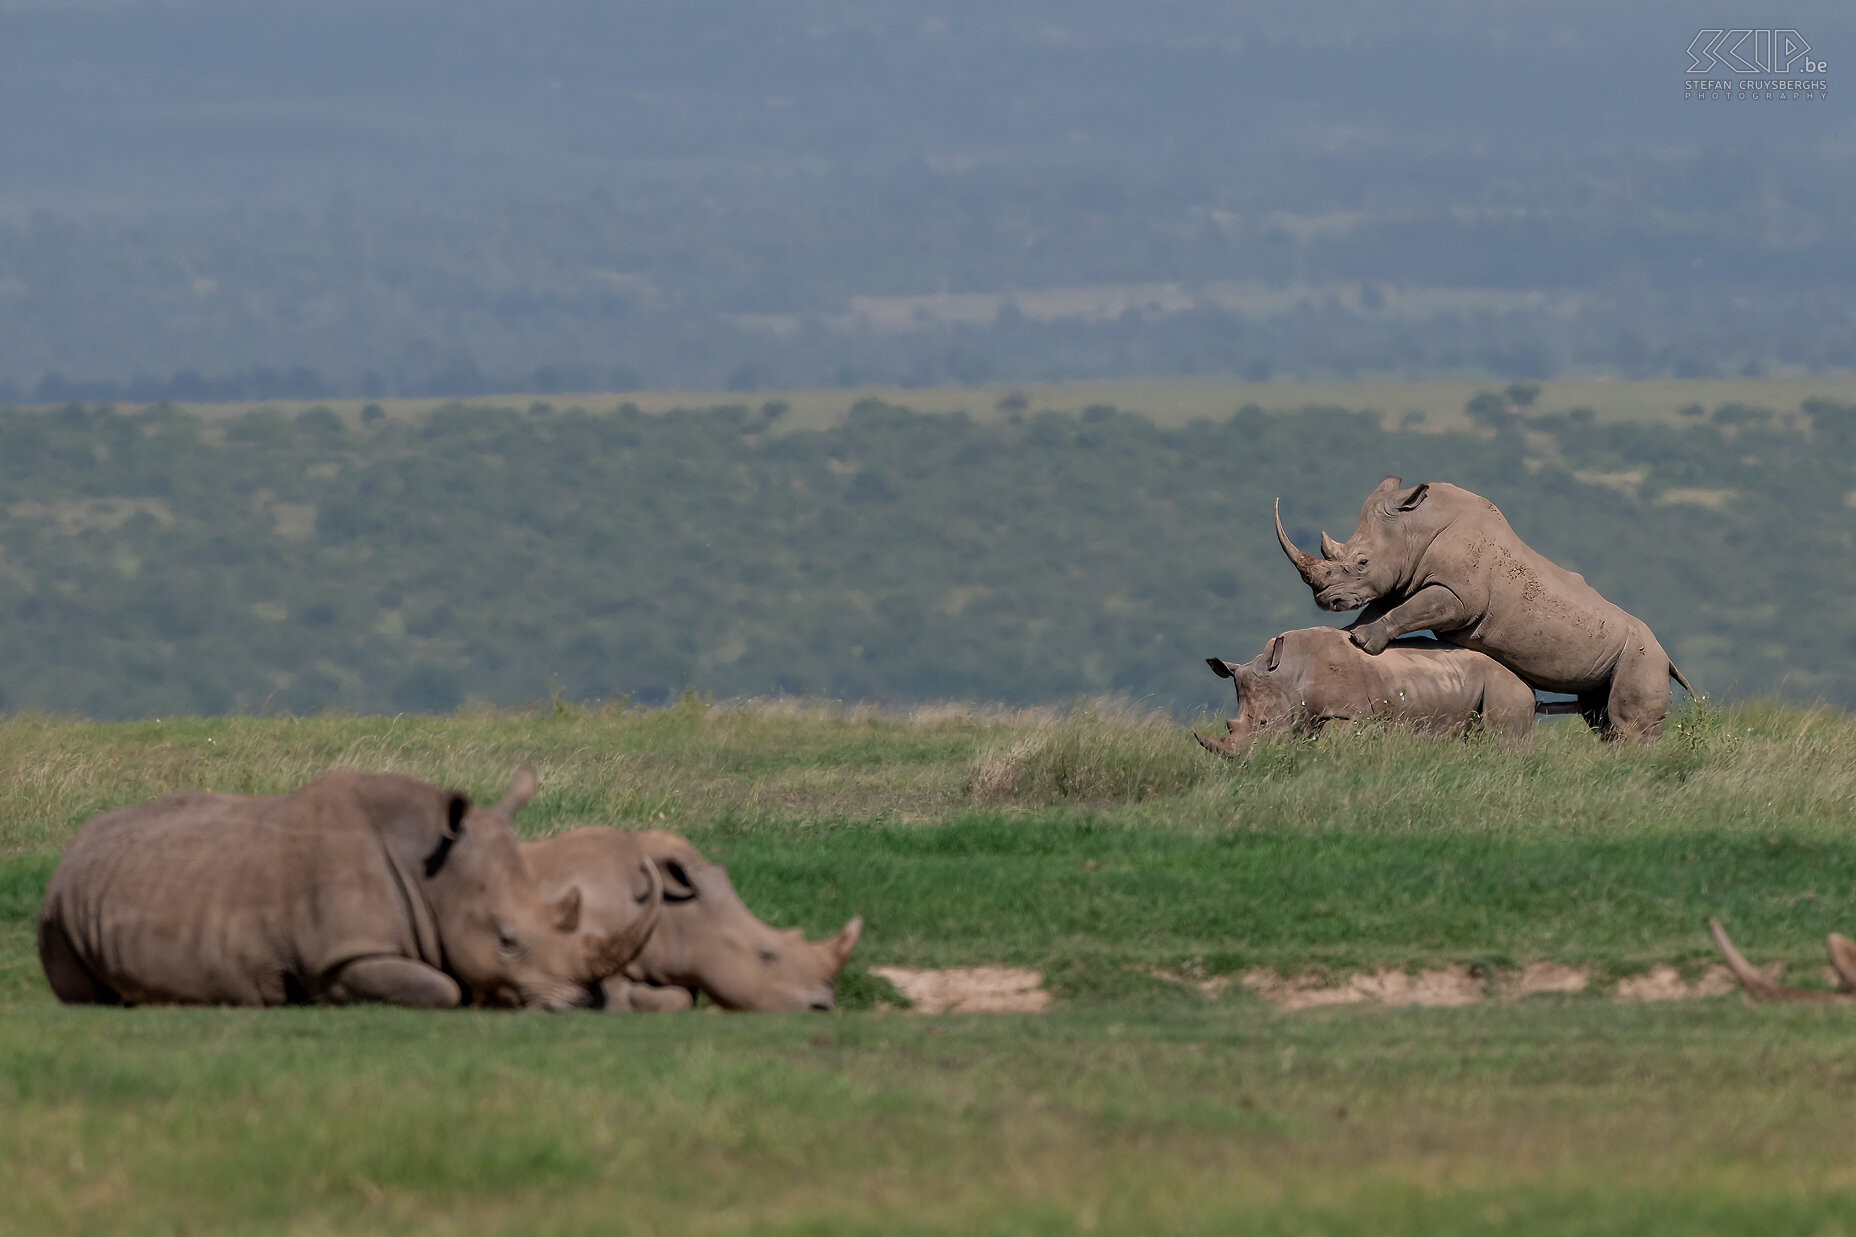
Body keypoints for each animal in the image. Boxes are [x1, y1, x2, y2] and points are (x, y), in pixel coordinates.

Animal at [36, 761, 664, 1010]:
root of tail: (70, 851)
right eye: (507, 941)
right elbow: (443, 989)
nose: (582, 1003)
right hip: (58, 910)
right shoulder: (343, 955)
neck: (432, 871)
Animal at [1195, 627, 1544, 750]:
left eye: (1264, 723)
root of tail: (1526, 679)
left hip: (1504, 684)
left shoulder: (1349, 714)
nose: (1241, 762)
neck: (1288, 674)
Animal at [1276, 475, 1700, 735]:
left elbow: (1410, 610)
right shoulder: (1402, 581)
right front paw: (1347, 634)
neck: (1416, 528)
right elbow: (1383, 608)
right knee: (1601, 716)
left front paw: (1363, 643)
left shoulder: (1458, 596)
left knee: (1627, 725)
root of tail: (1665, 655)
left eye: (1362, 562)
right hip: (1626, 655)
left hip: (1643, 656)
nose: (1325, 601)